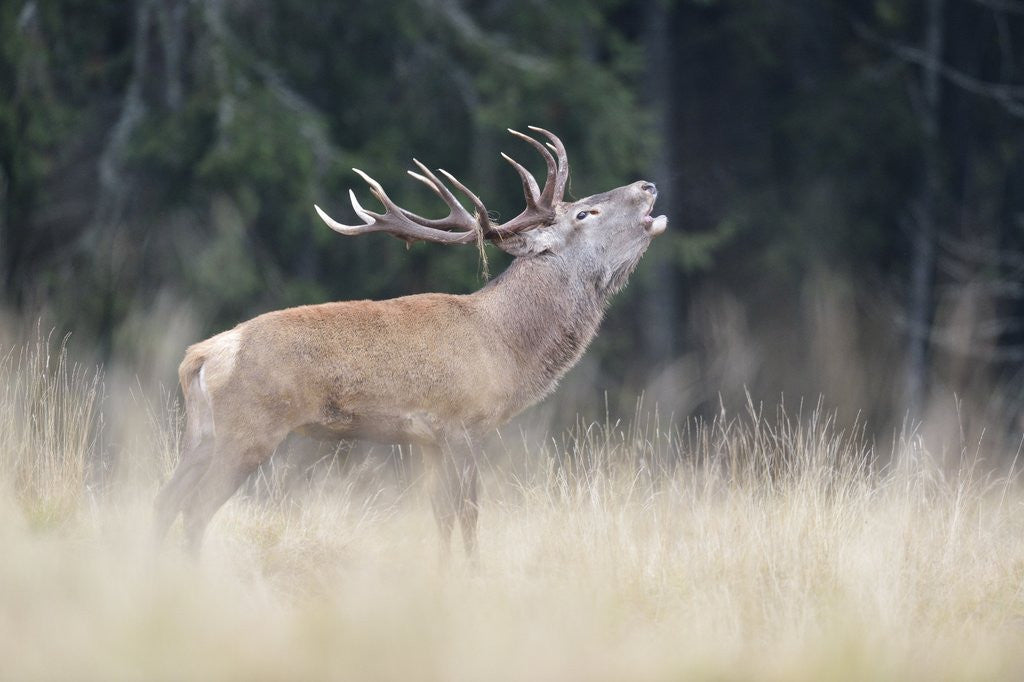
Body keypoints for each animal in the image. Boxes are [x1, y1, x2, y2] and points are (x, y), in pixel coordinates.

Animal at [153, 126, 667, 556]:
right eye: (585, 212)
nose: (647, 185)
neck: (505, 347)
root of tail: (203, 355)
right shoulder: (462, 422)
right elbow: (469, 515)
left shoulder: (427, 440)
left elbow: (440, 518)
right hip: (249, 429)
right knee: (194, 510)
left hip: (201, 434)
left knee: (165, 500)